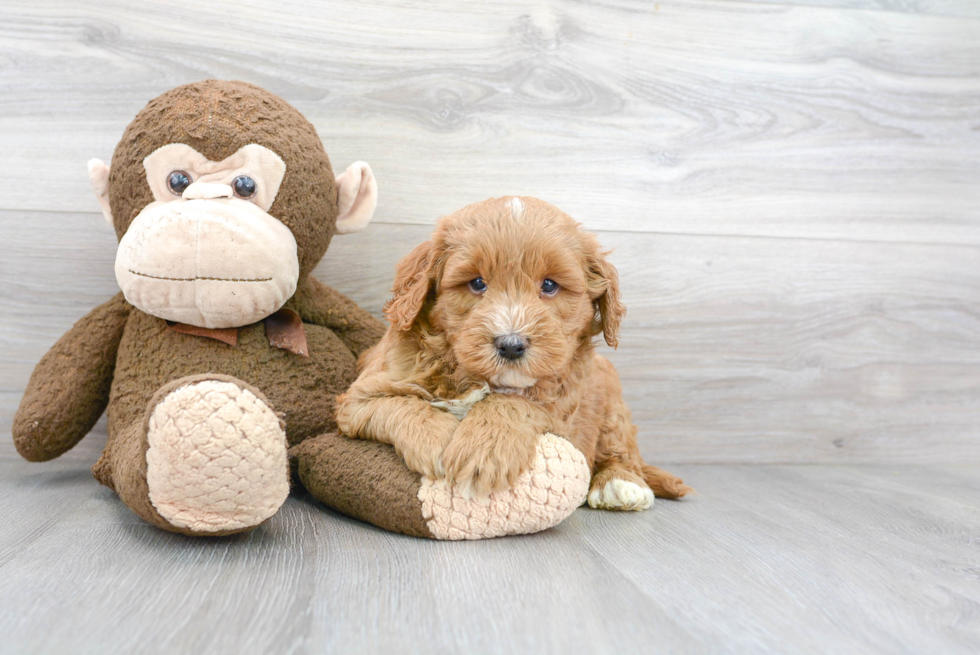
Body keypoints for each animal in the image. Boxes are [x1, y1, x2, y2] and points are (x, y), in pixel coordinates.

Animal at [336, 197, 688, 510]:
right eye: (477, 283)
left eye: (549, 285)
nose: (511, 344)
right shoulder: (359, 397)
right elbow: (400, 404)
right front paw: (438, 439)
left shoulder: (562, 407)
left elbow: (514, 402)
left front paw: (483, 450)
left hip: (611, 395)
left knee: (621, 449)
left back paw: (620, 483)